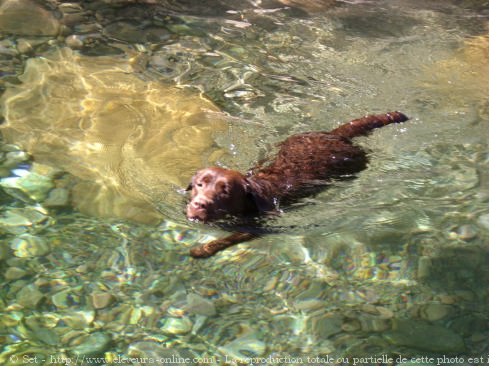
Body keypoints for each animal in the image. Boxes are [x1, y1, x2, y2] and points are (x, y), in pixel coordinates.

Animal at [187, 111, 408, 258]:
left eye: (225, 192)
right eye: (199, 184)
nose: (199, 205)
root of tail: (336, 134)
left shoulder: (260, 226)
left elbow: (230, 238)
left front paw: (202, 250)